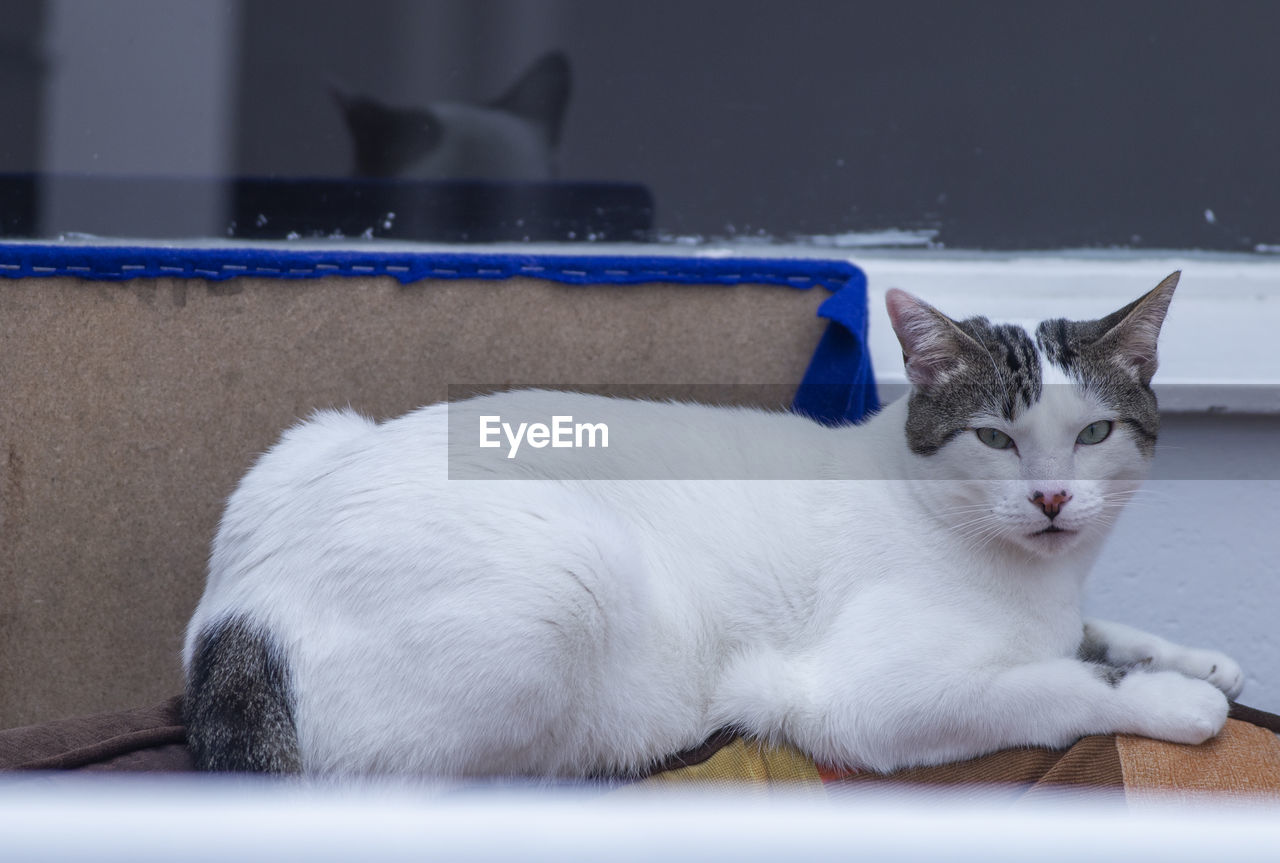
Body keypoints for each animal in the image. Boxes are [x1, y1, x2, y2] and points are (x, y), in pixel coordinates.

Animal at [180, 272, 1239, 778]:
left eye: (1093, 433)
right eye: (995, 436)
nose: (1054, 499)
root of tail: (238, 617)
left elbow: (1095, 634)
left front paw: (1198, 658)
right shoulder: (866, 700)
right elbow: (1058, 683)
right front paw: (1175, 700)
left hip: (309, 437)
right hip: (564, 579)